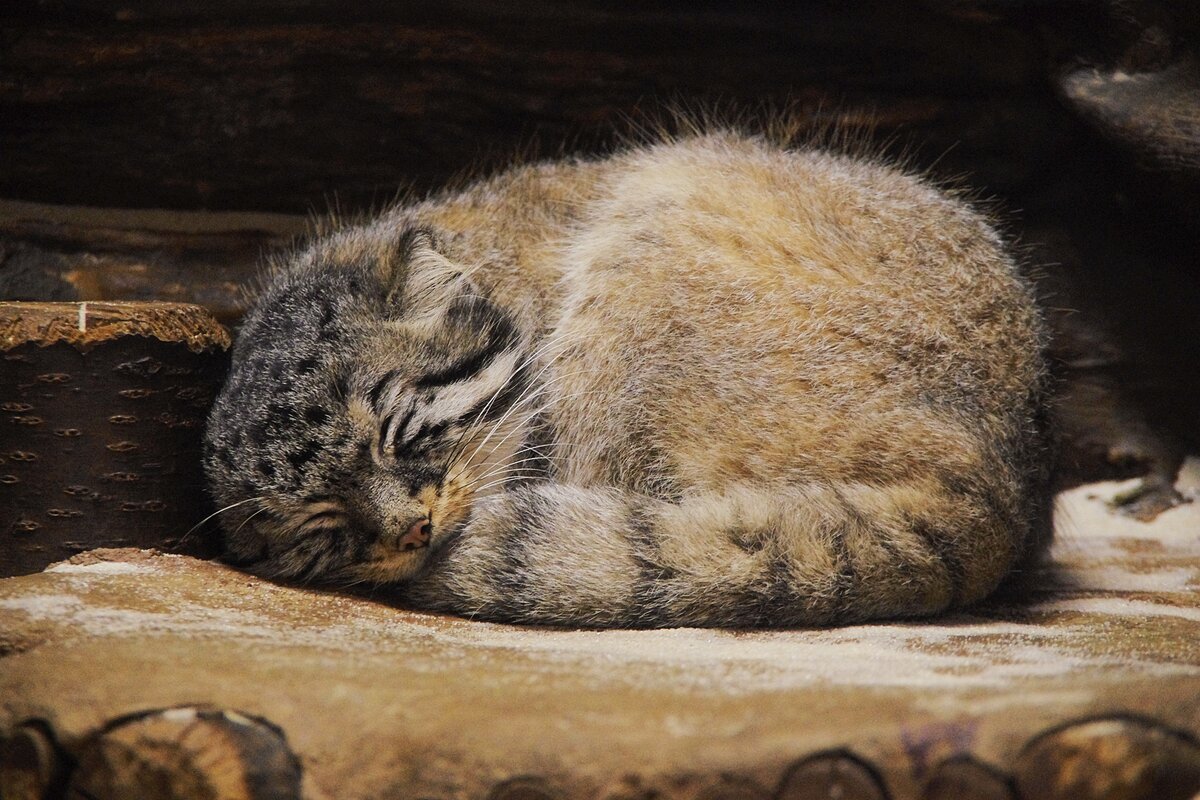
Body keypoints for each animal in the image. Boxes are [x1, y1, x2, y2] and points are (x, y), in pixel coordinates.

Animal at [204, 128, 1051, 628]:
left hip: (644, 248)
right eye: (322, 524)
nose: (413, 531)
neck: (502, 262)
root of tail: (995, 492)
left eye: (400, 431)